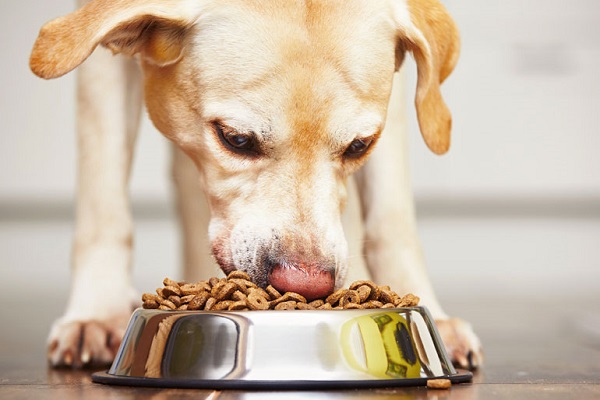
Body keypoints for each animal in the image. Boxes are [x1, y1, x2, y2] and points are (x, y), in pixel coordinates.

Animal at [29, 0, 482, 368]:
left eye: (359, 145)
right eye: (235, 139)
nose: (305, 284)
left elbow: (393, 217)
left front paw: (428, 310)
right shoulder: (100, 64)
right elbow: (103, 200)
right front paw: (97, 312)